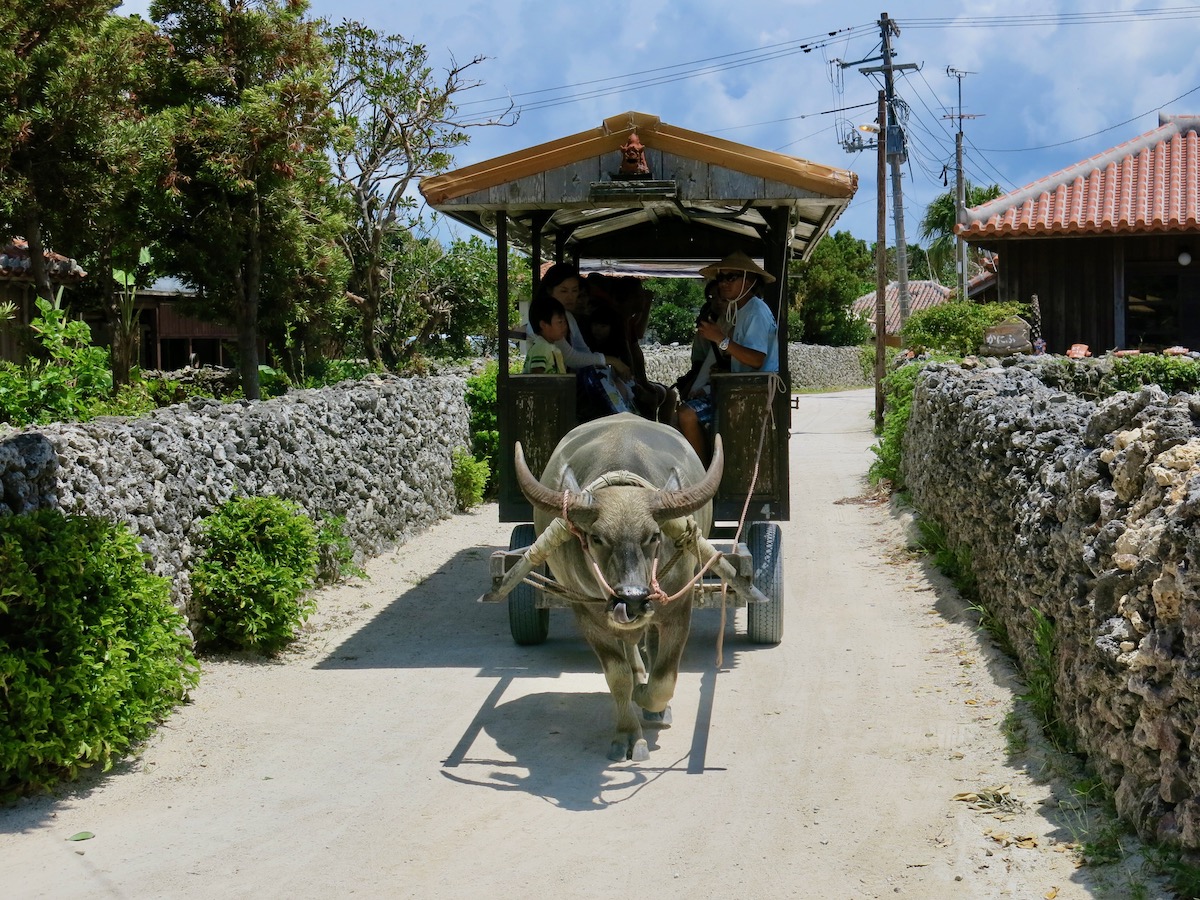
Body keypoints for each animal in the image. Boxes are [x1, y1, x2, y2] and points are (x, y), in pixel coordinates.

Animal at [482, 415, 763, 763]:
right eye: (596, 538)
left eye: (654, 535)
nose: (632, 600)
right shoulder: (588, 613)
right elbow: (618, 677)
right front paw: (628, 734)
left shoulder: (677, 609)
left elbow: (664, 678)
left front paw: (648, 698)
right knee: (630, 650)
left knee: (650, 646)